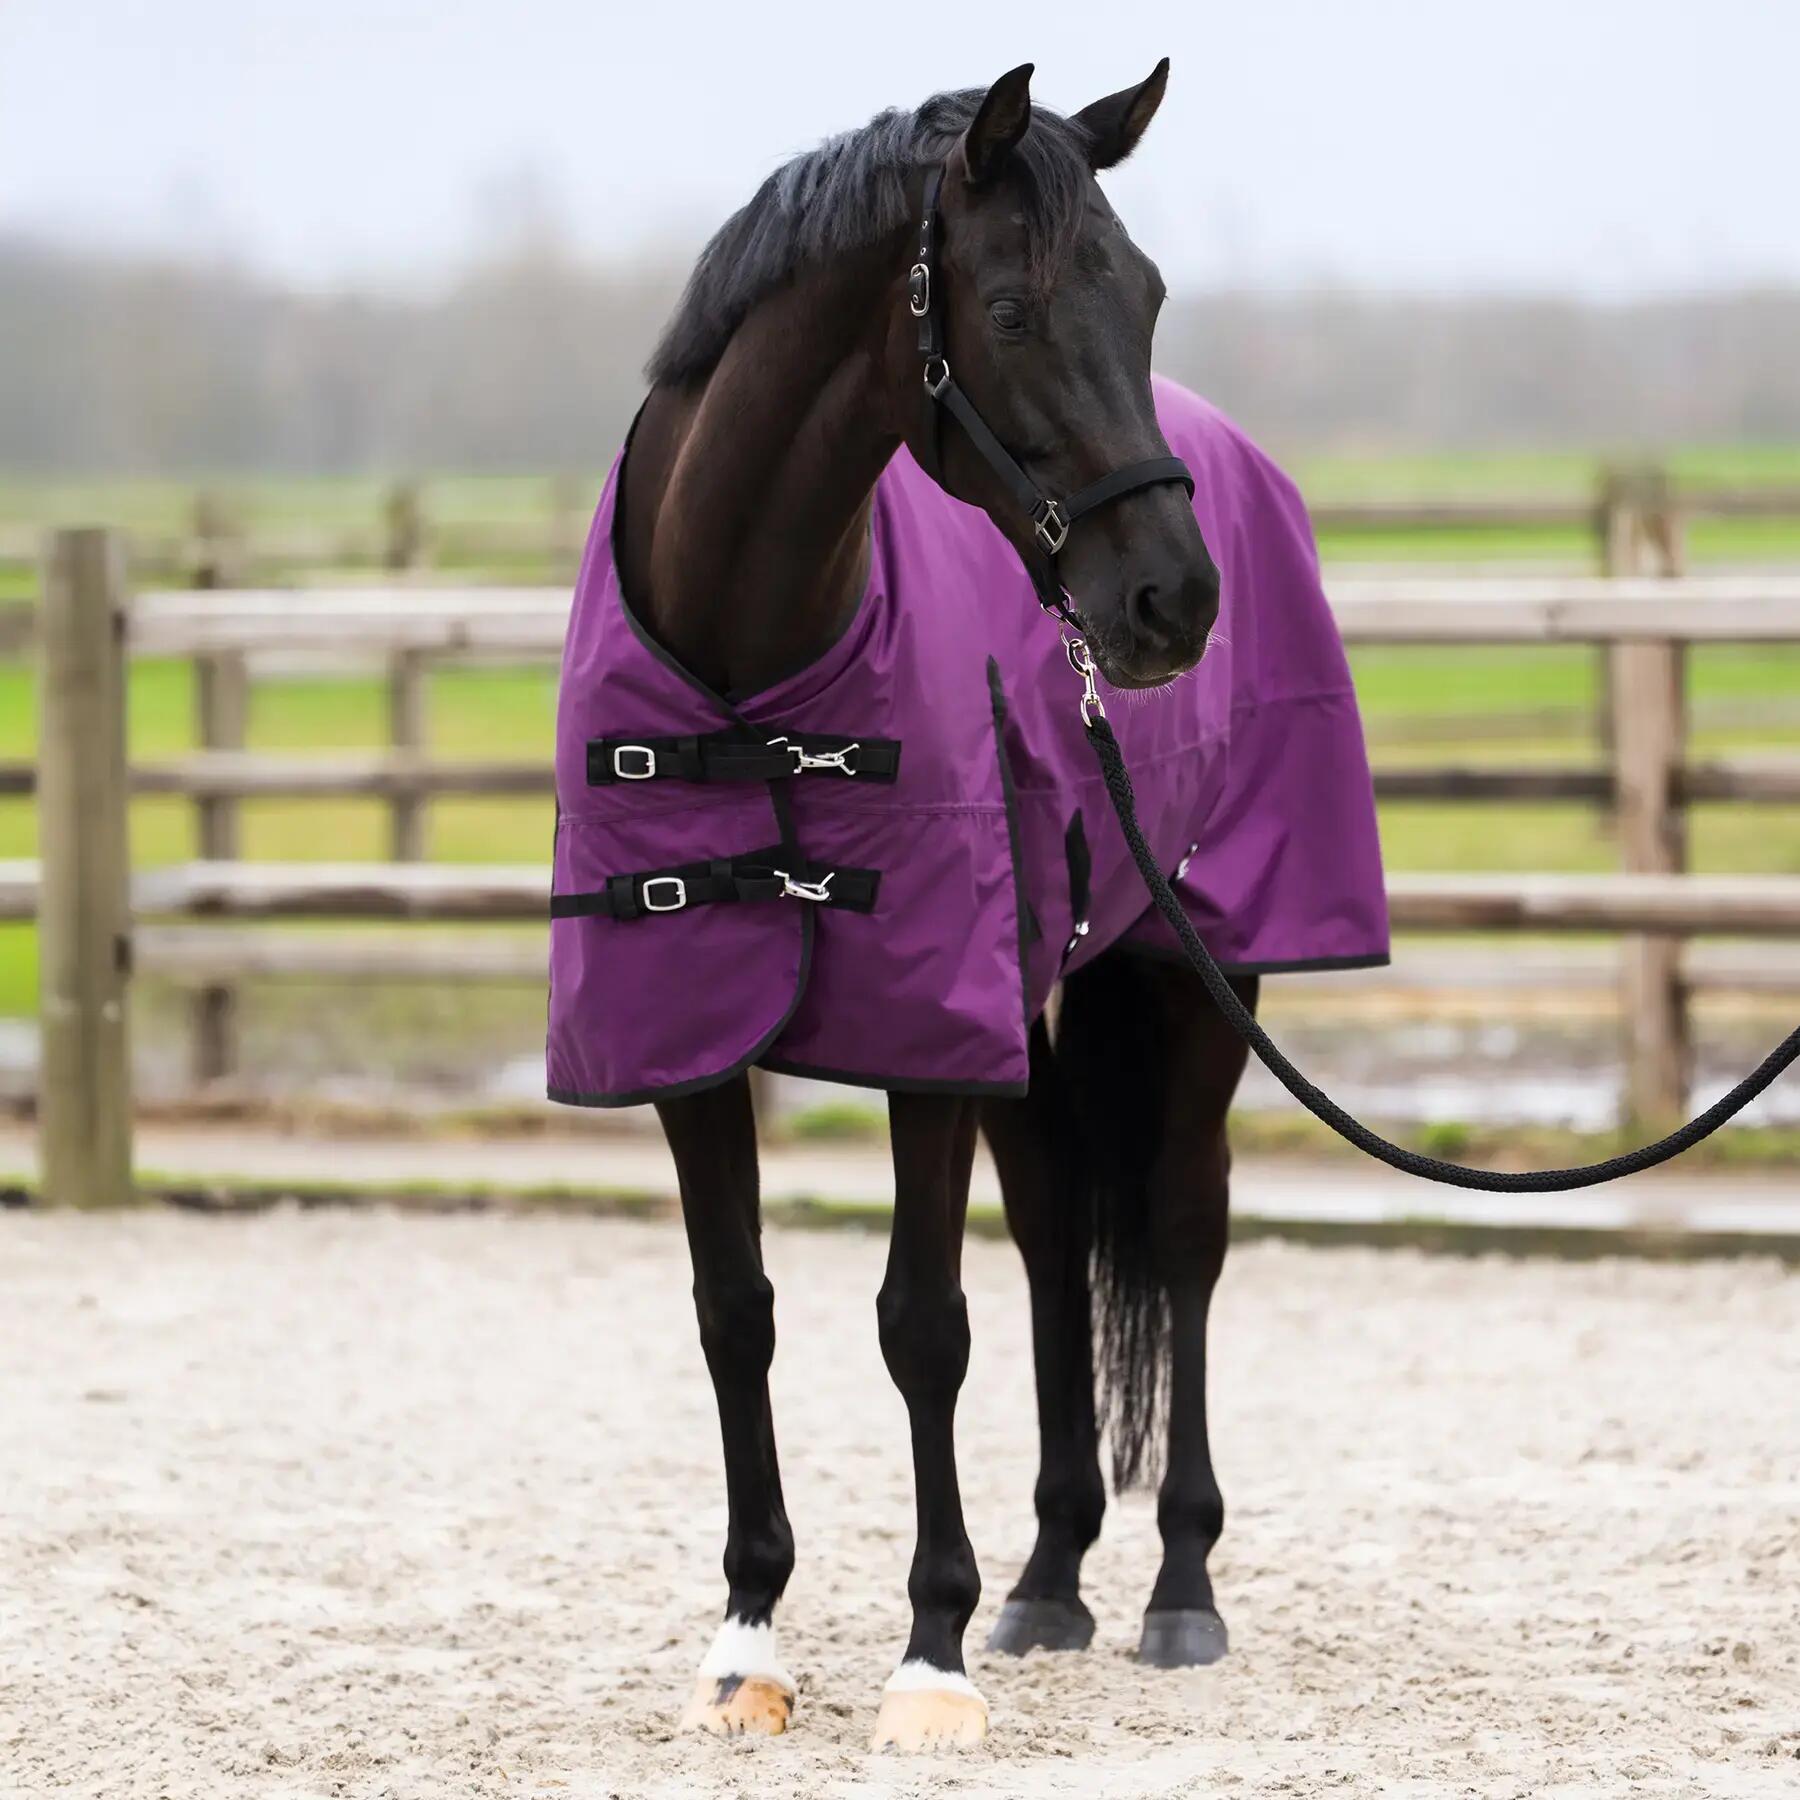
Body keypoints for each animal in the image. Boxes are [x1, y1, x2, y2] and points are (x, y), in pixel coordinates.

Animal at [547, 62, 1388, 1750]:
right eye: (1007, 308)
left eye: (1149, 298)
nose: (1173, 602)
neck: (750, 667)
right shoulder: (691, 1041)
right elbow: (736, 1309)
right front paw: (748, 1640)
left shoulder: (925, 1039)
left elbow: (920, 1323)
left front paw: (926, 1654)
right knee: (1060, 1228)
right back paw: (1051, 1575)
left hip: (1201, 972)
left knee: (1182, 1233)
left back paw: (1175, 1585)